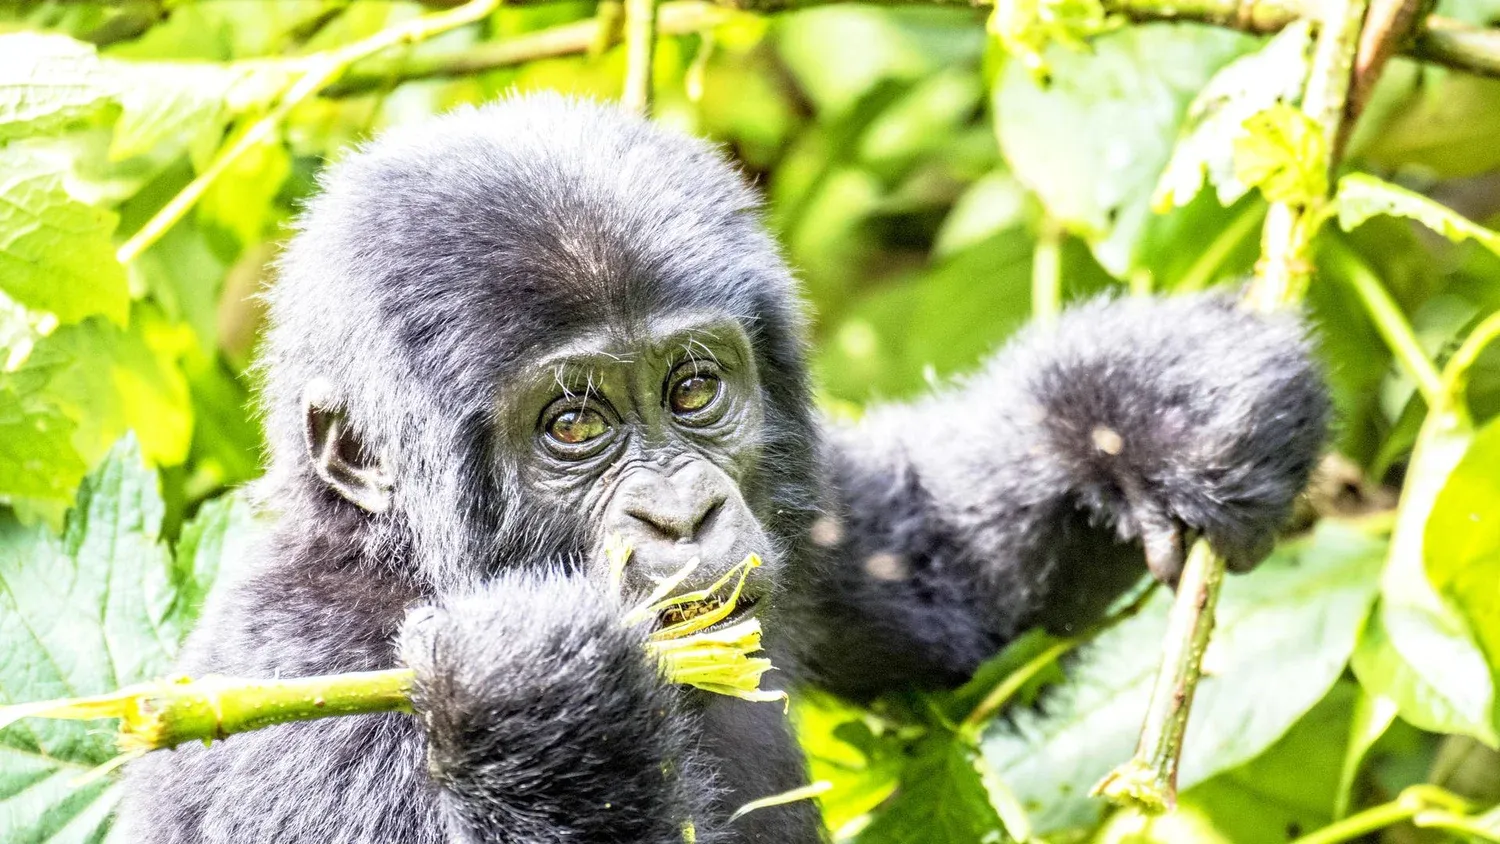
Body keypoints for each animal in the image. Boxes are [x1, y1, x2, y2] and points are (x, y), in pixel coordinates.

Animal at [113, 93, 1329, 843]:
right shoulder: (302, 699)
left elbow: (938, 577)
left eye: (693, 389)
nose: (683, 512)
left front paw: (1153, 410)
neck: (398, 562)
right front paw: (539, 700)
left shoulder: (803, 528)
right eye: (572, 423)